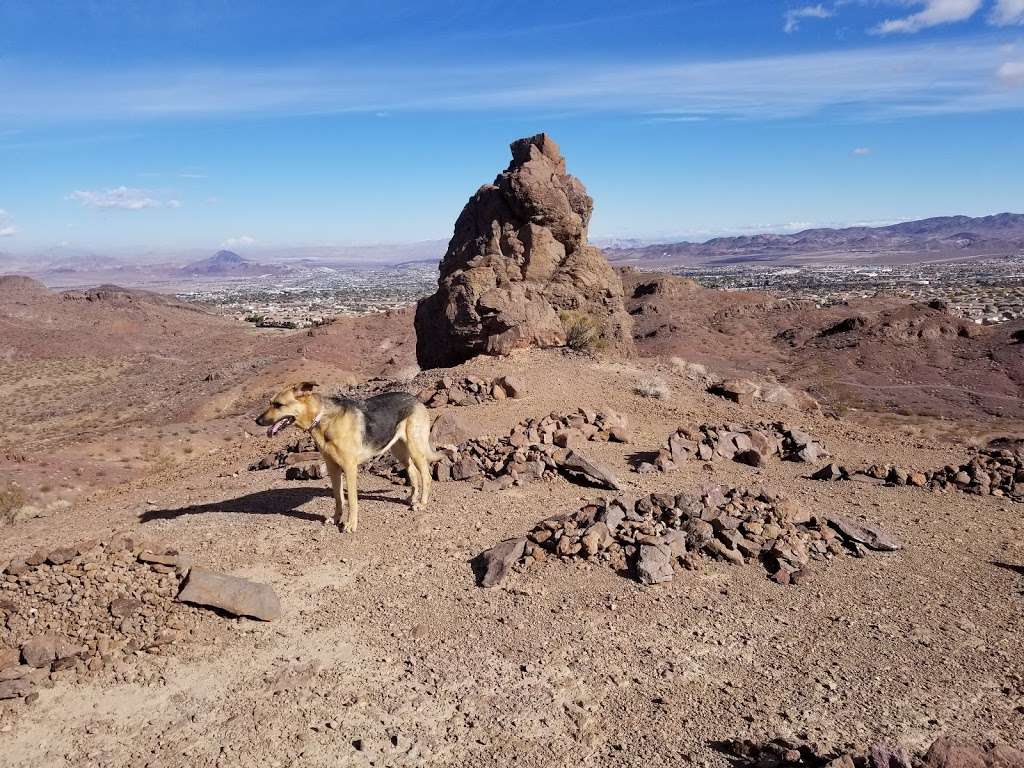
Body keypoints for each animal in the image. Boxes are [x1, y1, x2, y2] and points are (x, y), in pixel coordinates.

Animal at [258, 385, 434, 536]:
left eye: (278, 405)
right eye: (270, 403)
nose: (257, 421)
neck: (323, 419)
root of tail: (416, 399)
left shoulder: (349, 468)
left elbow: (352, 500)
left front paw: (350, 524)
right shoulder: (333, 467)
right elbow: (338, 497)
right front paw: (337, 518)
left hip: (415, 448)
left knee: (426, 476)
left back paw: (422, 503)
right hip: (399, 450)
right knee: (412, 472)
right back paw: (412, 498)